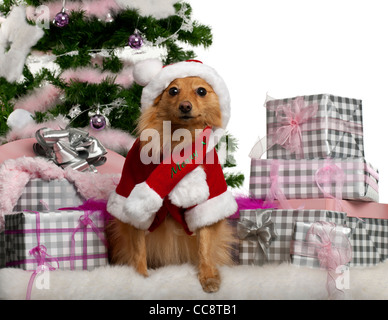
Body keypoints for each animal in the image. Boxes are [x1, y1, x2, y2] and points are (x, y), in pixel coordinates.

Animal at [106, 59, 236, 292]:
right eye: (173, 91)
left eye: (201, 91)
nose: (185, 106)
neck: (178, 141)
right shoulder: (130, 190)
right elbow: (138, 248)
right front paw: (140, 277)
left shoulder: (210, 196)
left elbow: (204, 245)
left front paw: (208, 276)